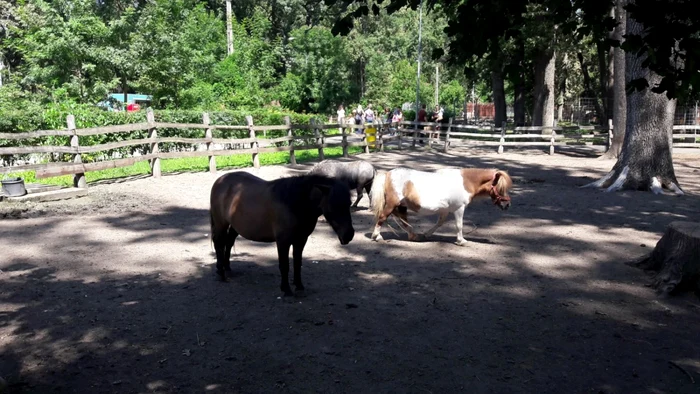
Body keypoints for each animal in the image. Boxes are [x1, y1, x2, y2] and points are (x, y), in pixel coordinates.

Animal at [209, 172, 356, 296]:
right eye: (332, 206)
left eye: (349, 204)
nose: (348, 235)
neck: (295, 204)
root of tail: (220, 180)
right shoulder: (283, 241)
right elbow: (284, 265)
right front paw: (286, 289)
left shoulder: (301, 240)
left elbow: (297, 263)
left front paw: (299, 285)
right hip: (221, 224)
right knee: (219, 244)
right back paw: (221, 272)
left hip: (235, 226)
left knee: (228, 243)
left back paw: (227, 268)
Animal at [370, 168, 512, 245]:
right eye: (501, 188)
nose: (507, 205)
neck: (465, 183)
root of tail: (388, 174)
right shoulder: (459, 208)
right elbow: (459, 225)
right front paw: (461, 240)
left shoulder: (445, 210)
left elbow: (440, 222)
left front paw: (427, 234)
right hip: (391, 204)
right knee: (382, 217)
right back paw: (377, 236)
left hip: (401, 205)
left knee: (403, 220)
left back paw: (414, 236)